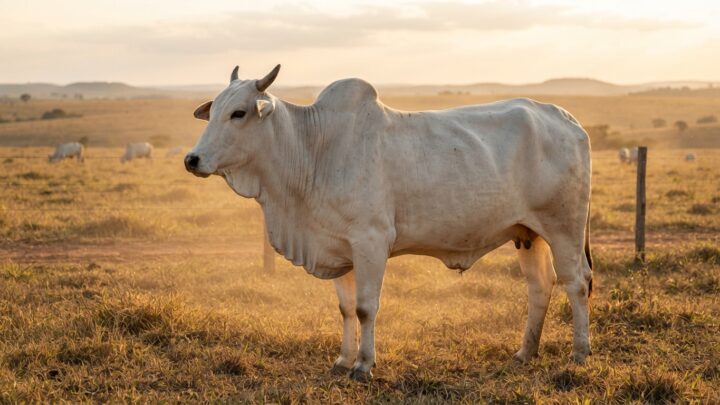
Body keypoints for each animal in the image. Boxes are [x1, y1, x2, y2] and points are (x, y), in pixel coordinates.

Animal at [185, 65, 593, 381]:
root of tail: (565, 118)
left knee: (576, 283)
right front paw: (342, 360)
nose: (192, 159)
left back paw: (579, 352)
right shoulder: (339, 247)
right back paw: (525, 353)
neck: (313, 149)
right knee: (540, 286)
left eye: (239, 113)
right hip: (529, 234)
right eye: (214, 110)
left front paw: (364, 365)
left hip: (564, 229)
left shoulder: (371, 242)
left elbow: (366, 307)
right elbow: (346, 308)